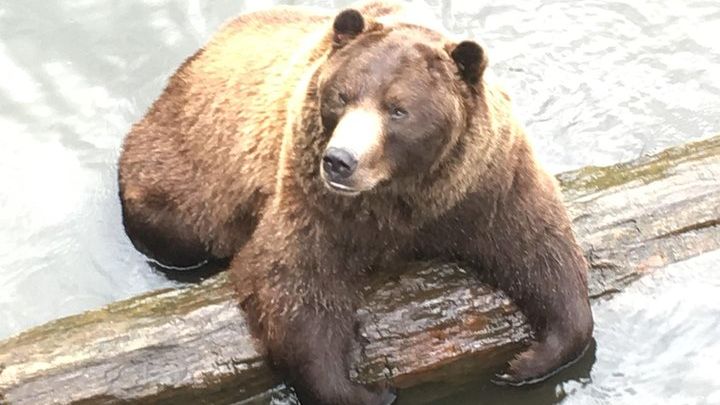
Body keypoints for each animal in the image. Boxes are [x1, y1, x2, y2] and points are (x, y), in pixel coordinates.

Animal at [118, 2, 594, 405]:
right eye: (342, 95)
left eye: (398, 109)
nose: (340, 160)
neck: (403, 195)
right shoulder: (313, 199)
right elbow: (296, 283)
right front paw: (366, 390)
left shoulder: (485, 183)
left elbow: (539, 246)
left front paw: (527, 360)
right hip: (184, 170)